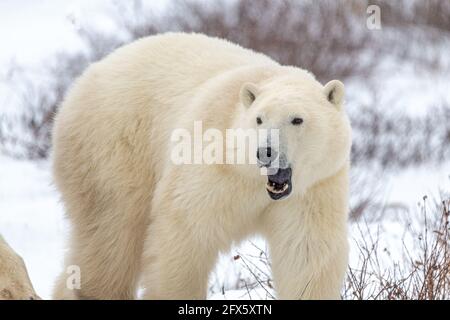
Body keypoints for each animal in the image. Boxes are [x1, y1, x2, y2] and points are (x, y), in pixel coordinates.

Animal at [52, 32, 352, 300]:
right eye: (259, 119)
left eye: (297, 119)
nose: (265, 152)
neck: (251, 180)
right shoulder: (212, 166)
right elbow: (186, 233)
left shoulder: (316, 187)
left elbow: (306, 252)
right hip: (114, 146)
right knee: (114, 228)